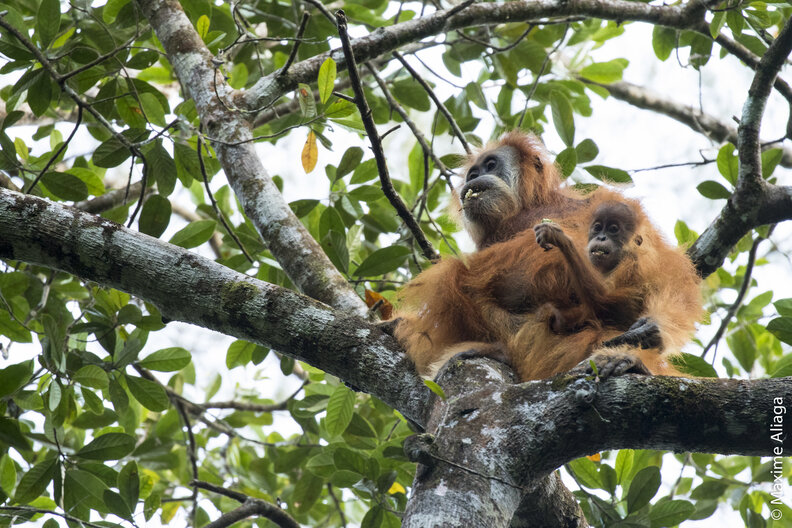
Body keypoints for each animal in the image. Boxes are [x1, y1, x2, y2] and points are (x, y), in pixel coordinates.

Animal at [392, 131, 703, 381]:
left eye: (491, 164)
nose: (475, 177)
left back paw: (630, 359)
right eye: (472, 173)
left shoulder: (593, 203)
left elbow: (660, 261)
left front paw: (655, 327)